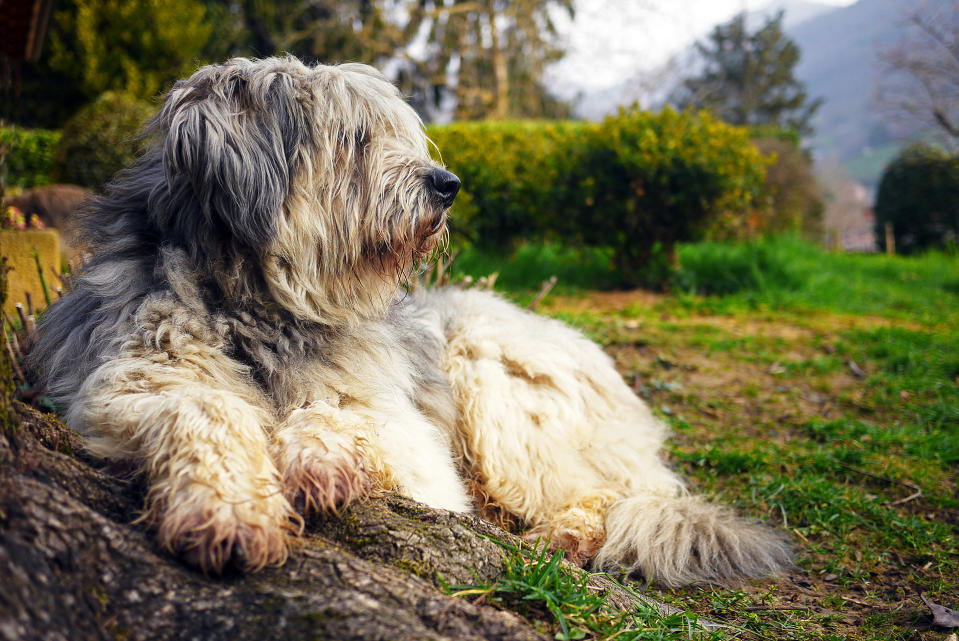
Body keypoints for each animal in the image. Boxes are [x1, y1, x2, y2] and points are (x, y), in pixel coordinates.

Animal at [31, 56, 796, 584]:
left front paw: (317, 460)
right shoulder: (128, 378)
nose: (447, 184)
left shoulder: (409, 440)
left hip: (493, 378)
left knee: (609, 492)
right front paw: (228, 512)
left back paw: (569, 534)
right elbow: (203, 412)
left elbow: (345, 415)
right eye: (355, 139)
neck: (265, 311)